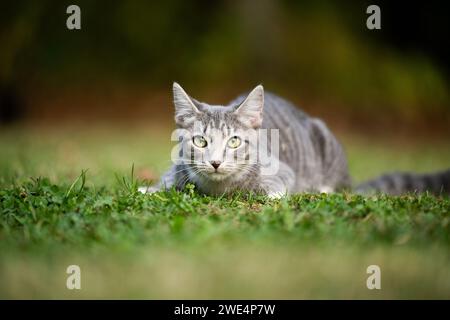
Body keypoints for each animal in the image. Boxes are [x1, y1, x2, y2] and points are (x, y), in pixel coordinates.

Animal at [139, 83, 448, 198]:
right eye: (201, 142)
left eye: (234, 142)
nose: (215, 162)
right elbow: (168, 180)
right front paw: (150, 188)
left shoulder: (282, 171)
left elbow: (276, 187)